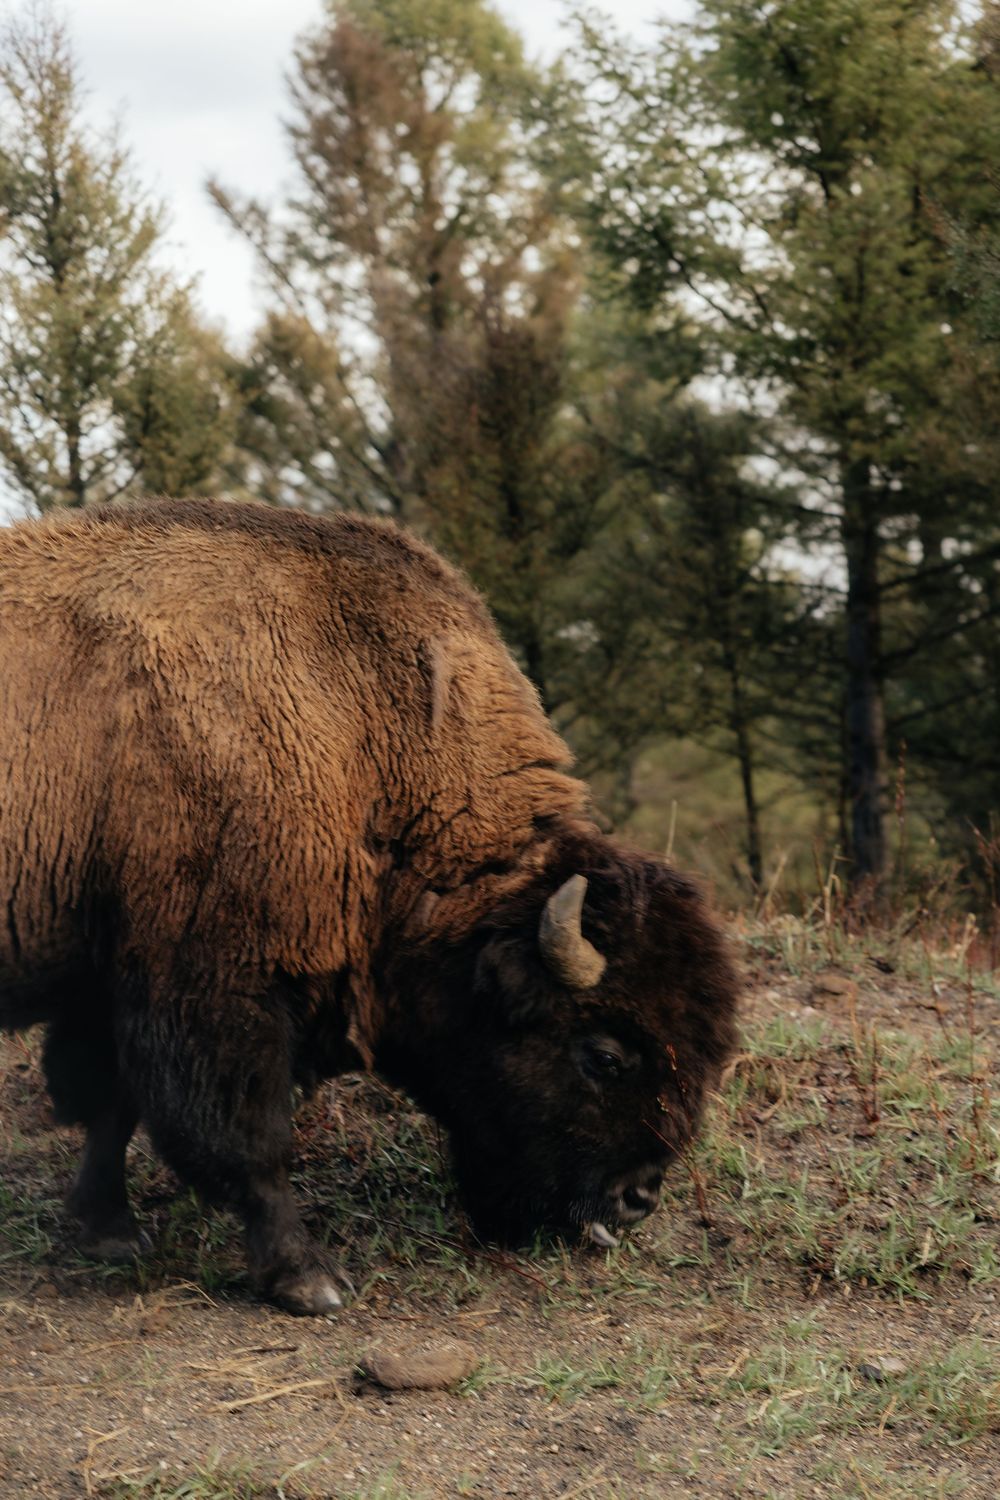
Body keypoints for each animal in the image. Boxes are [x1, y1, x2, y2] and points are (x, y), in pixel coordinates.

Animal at [0, 498, 738, 1313]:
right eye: (602, 1055)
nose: (636, 1200)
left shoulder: (115, 976)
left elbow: (111, 1106)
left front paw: (109, 1231)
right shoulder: (216, 987)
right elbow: (250, 1140)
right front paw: (309, 1280)